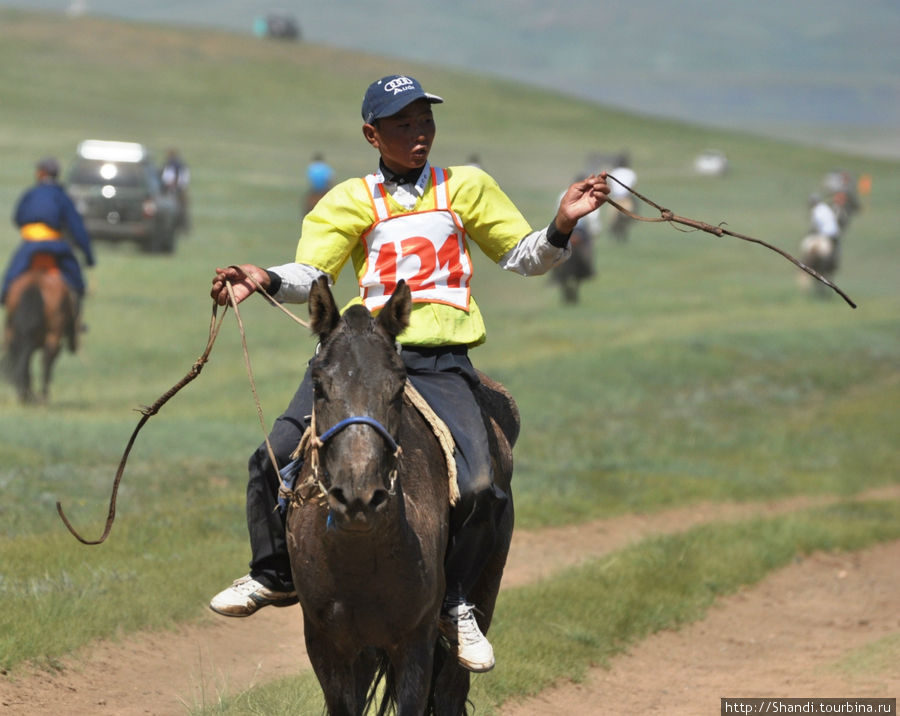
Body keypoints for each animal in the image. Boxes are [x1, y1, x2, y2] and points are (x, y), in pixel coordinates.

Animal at [1, 256, 77, 402]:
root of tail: (35, 283)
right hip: (53, 335)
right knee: (45, 359)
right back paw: (40, 395)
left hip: (14, 332)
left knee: (20, 356)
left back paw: (26, 393)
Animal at [284, 280, 516, 716]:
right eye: (318, 385)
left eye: (397, 387)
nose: (358, 496)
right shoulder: (327, 645)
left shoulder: (414, 643)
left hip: (485, 589)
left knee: (451, 689)